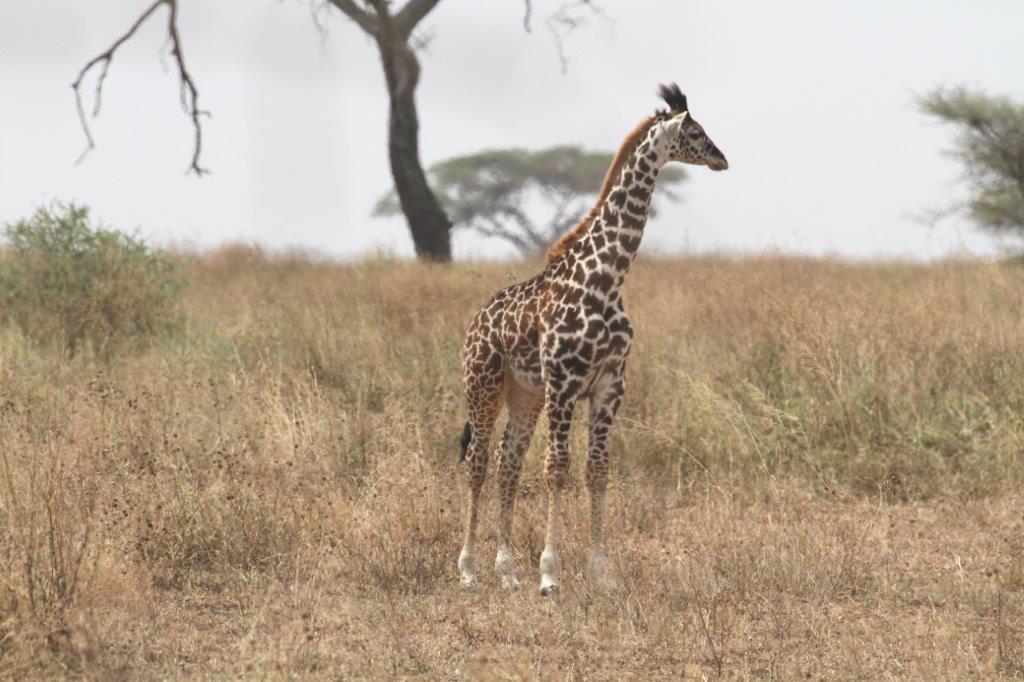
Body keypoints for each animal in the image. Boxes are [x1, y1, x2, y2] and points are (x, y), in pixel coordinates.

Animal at [458, 83, 728, 596]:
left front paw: (600, 572)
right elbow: (557, 468)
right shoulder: (565, 383)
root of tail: (476, 321)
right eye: (696, 132)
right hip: (483, 385)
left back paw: (507, 571)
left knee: (507, 460)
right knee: (479, 461)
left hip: (525, 394)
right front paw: (550, 574)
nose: (723, 158)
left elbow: (597, 470)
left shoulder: (609, 385)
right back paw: (468, 569)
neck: (607, 278)